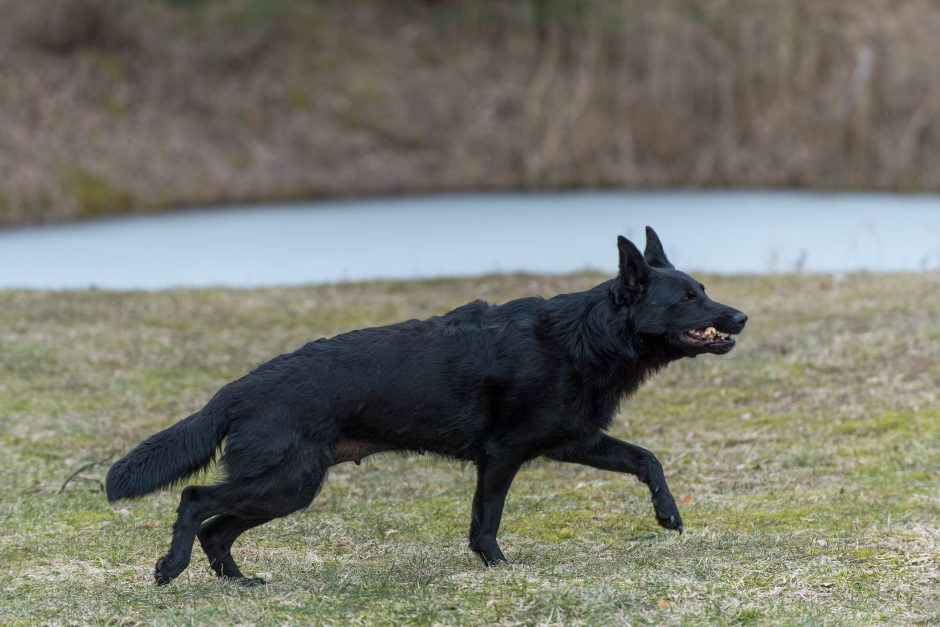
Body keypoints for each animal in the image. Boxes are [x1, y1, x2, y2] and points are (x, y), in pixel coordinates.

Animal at [104, 228, 748, 588]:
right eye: (688, 297)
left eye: (703, 290)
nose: (741, 317)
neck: (585, 337)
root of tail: (238, 388)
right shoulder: (503, 455)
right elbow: (486, 520)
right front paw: (498, 568)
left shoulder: (575, 440)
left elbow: (648, 460)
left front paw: (669, 515)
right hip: (285, 481)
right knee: (195, 501)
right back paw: (171, 569)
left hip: (289, 488)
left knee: (219, 531)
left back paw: (239, 584)